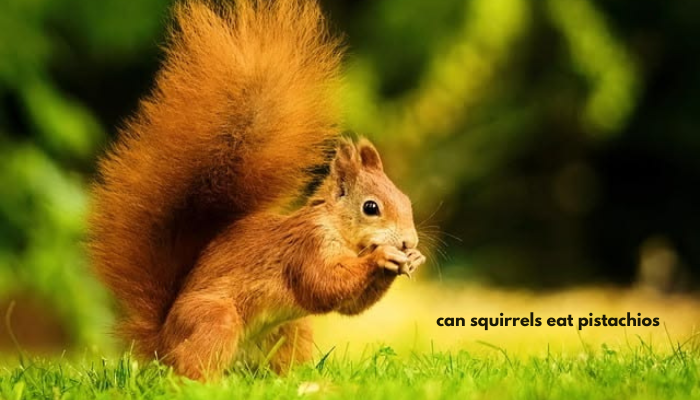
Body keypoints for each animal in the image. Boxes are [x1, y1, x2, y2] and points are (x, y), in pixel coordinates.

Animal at [88, 0, 425, 380]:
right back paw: (206, 383)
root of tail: (162, 341)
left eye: (406, 201)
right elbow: (324, 286)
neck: (338, 230)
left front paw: (412, 259)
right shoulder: (306, 247)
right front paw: (383, 257)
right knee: (192, 366)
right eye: (371, 207)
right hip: (214, 321)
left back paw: (296, 379)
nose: (408, 241)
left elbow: (349, 305)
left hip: (290, 329)